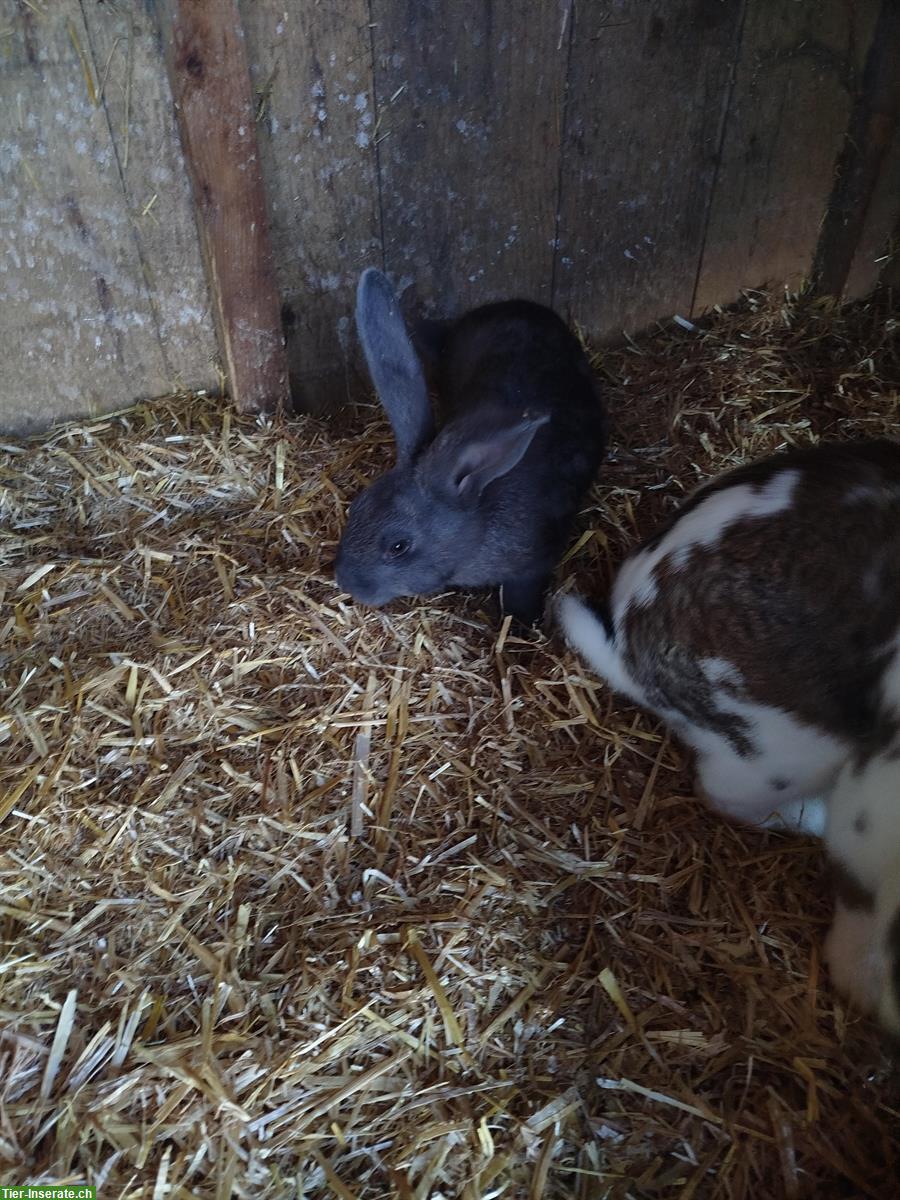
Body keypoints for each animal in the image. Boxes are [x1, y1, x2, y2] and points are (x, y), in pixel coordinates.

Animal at [333, 268, 607, 625]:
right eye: (355, 507)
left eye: (398, 547)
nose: (345, 581)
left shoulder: (533, 563)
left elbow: (521, 589)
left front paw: (521, 622)